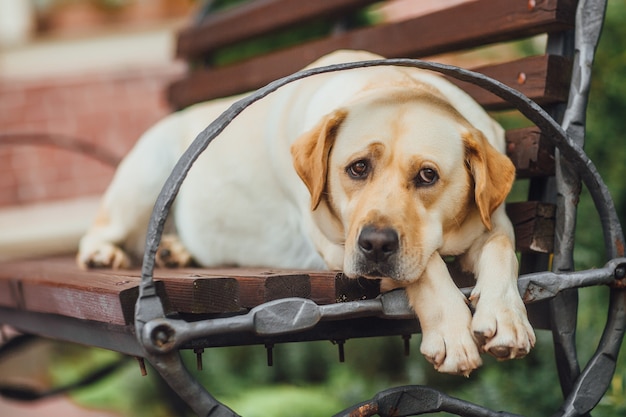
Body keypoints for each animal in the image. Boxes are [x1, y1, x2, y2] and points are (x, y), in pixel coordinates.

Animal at [78, 50, 532, 376]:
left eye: (427, 175)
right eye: (357, 168)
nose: (375, 244)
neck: (393, 85)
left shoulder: (494, 221)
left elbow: (501, 250)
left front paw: (506, 316)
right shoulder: (336, 243)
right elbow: (430, 268)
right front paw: (452, 333)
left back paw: (176, 251)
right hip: (147, 177)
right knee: (99, 231)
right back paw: (103, 253)